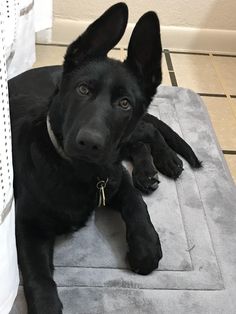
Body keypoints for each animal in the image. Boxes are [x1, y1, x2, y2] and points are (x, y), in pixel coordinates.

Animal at [9, 3, 201, 314]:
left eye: (124, 103)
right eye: (83, 89)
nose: (90, 143)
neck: (81, 172)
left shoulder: (115, 176)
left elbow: (137, 206)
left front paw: (146, 246)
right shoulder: (27, 226)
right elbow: (38, 276)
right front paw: (47, 304)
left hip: (126, 138)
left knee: (147, 131)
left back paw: (163, 162)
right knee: (140, 139)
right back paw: (148, 169)